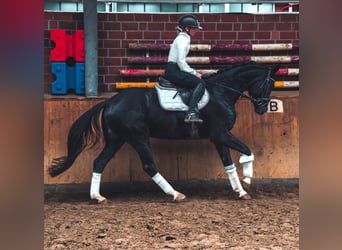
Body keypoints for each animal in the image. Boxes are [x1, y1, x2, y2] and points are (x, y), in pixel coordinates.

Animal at [48, 61, 280, 203]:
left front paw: (240, 191)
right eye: (268, 84)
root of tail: (111, 101)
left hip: (117, 139)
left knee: (99, 162)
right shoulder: (220, 134)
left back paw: (97, 197)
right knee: (149, 165)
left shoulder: (218, 138)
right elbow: (247, 151)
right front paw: (247, 179)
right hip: (138, 137)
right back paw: (175, 194)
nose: (262, 108)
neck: (221, 92)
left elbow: (229, 164)